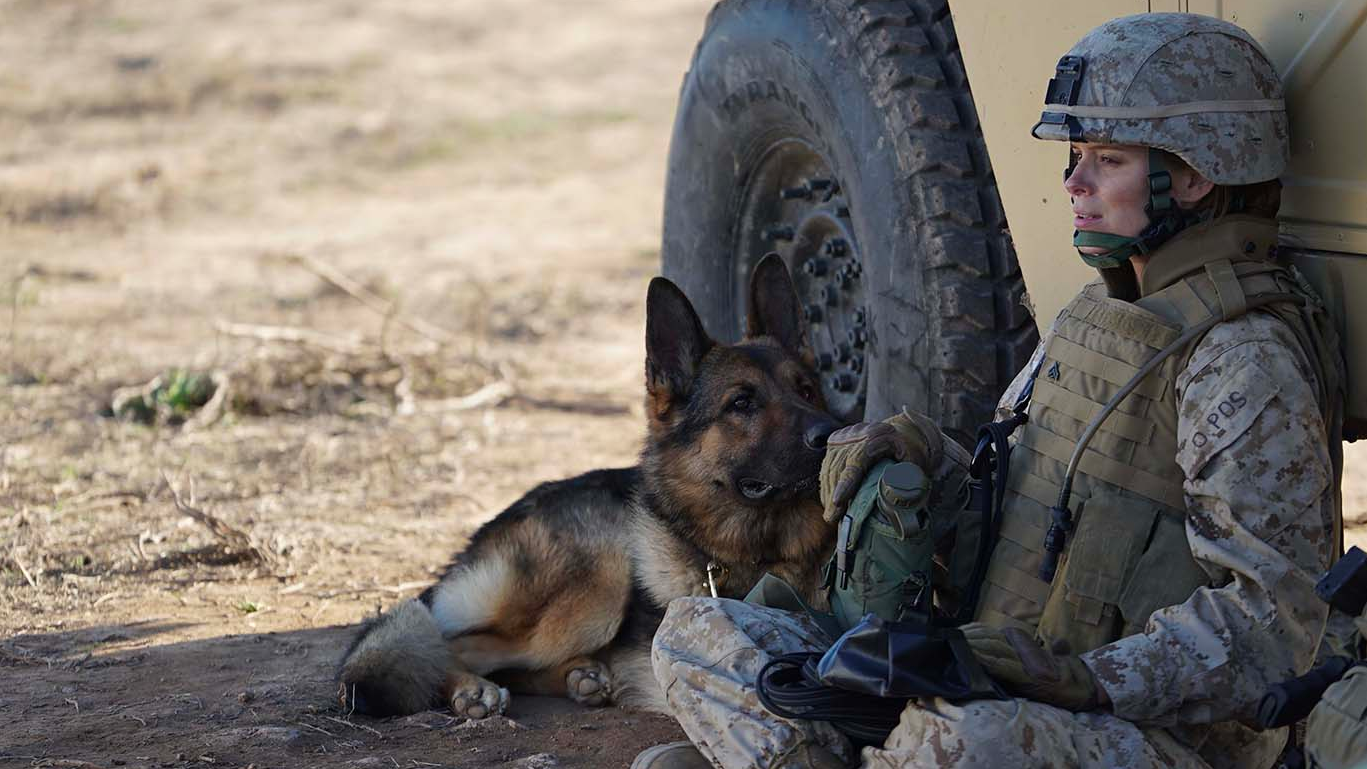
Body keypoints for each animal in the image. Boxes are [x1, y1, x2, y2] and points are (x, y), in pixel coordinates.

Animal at [336, 255, 836, 721]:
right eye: (742, 403)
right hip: (603, 576)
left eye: (806, 390)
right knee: (452, 643)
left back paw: (583, 677)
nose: (830, 433)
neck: (763, 555)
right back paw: (473, 688)